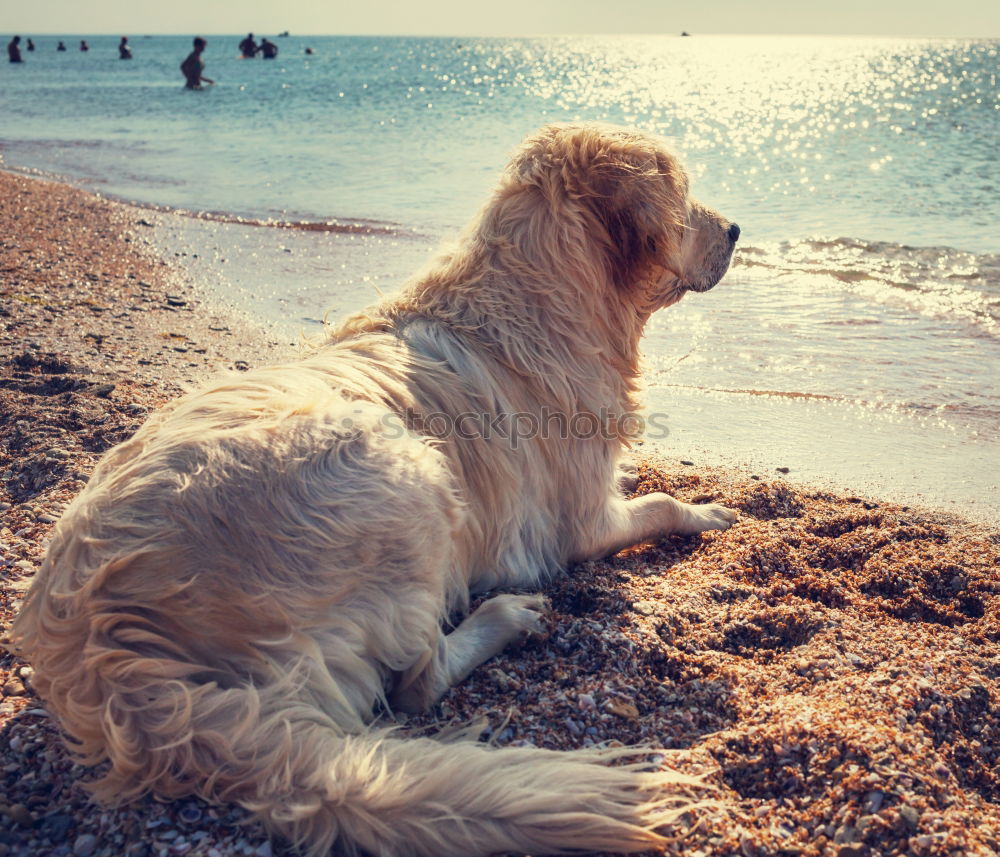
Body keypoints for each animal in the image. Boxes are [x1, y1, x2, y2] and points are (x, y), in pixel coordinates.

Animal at [11, 122, 740, 856]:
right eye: (684, 195)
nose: (737, 228)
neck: (540, 294)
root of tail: (112, 653)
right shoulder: (582, 525)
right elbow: (660, 503)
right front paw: (710, 509)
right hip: (408, 476)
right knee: (419, 680)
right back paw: (506, 616)